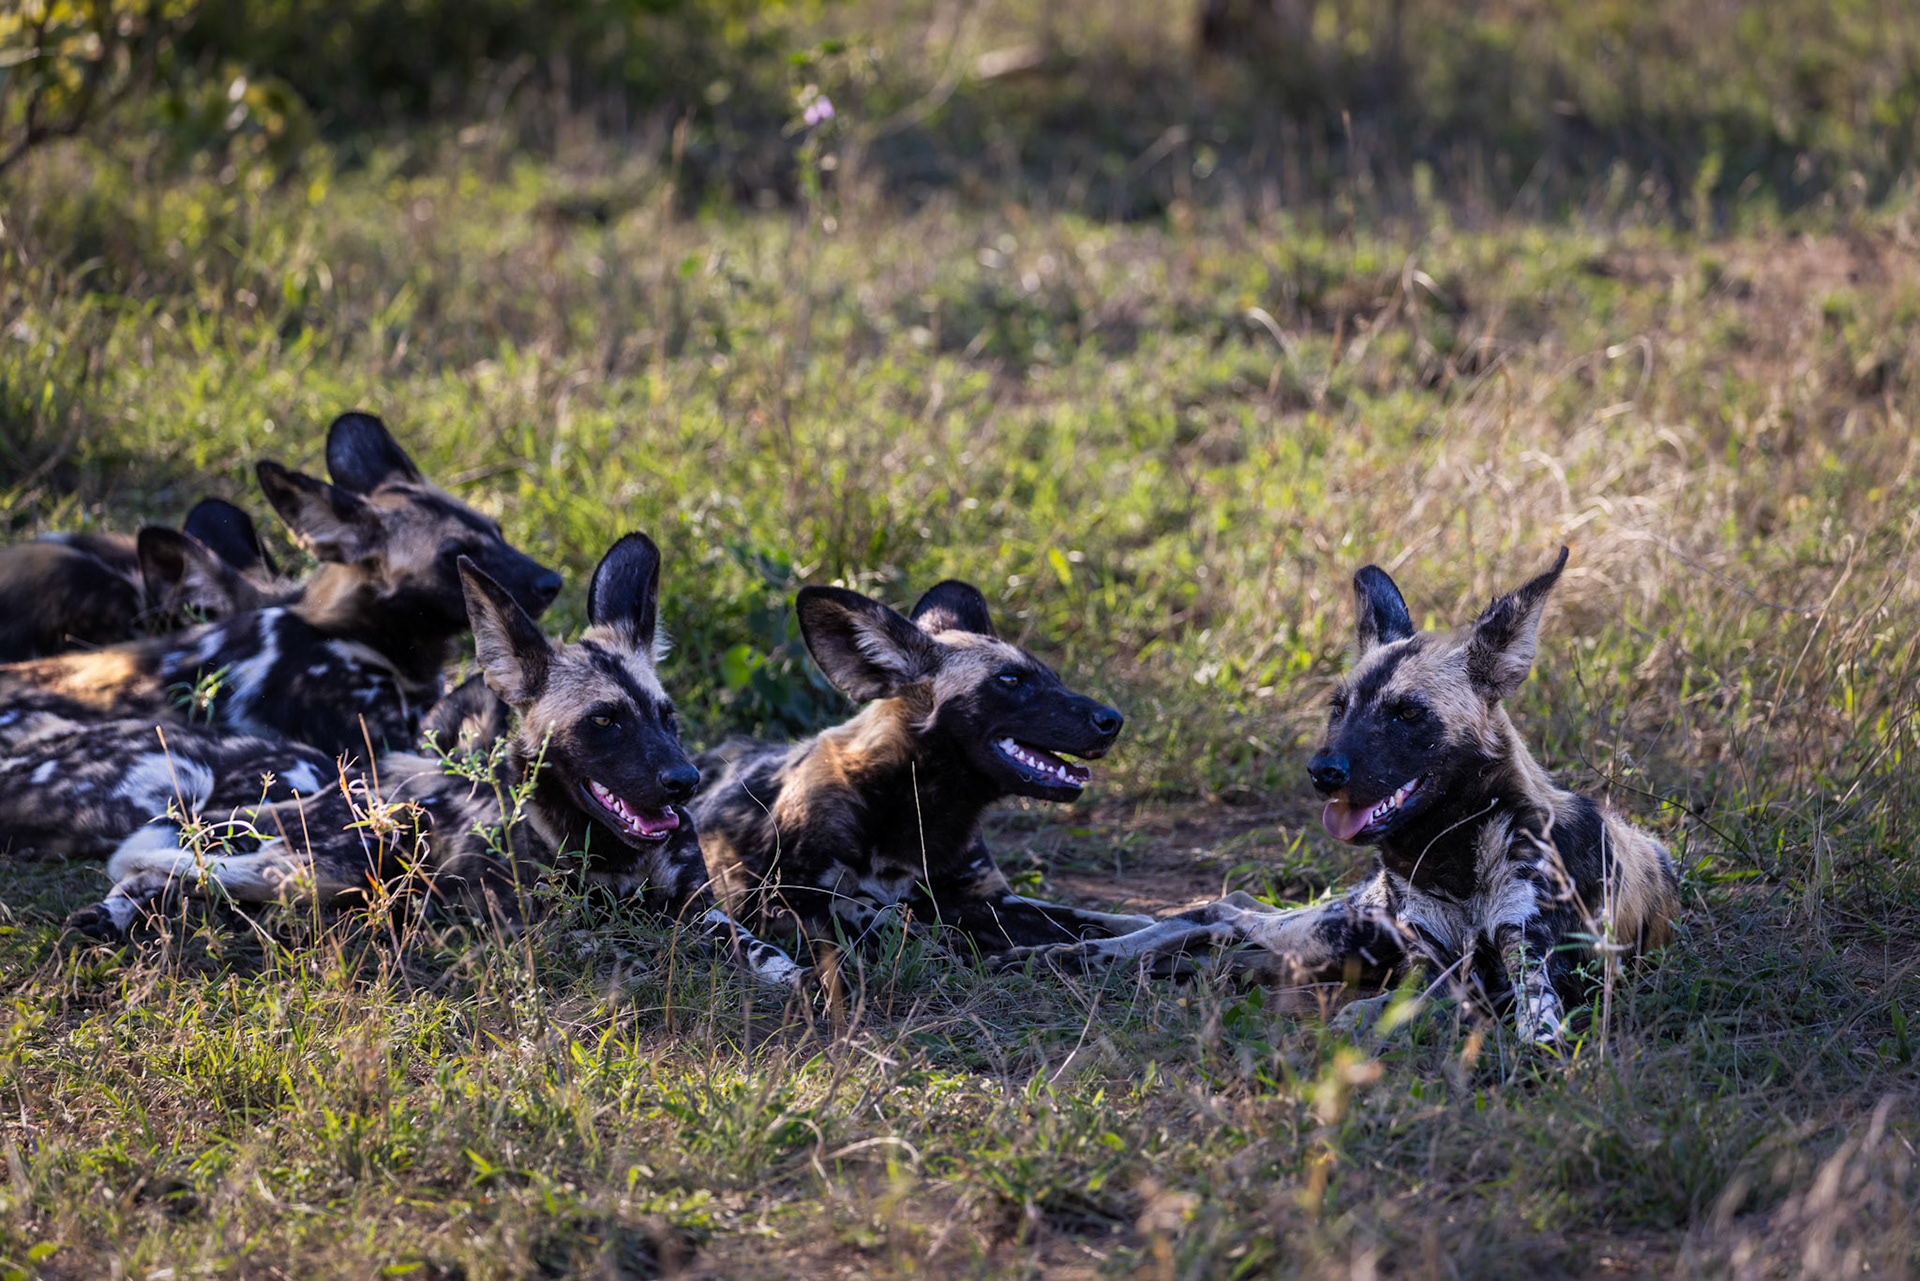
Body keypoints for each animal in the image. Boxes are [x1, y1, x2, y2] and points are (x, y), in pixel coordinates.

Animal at [65, 534, 801, 989]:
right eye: (604, 722)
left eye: (666, 716)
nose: (684, 782)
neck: (605, 852)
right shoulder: (557, 932)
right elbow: (636, 945)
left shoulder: (698, 908)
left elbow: (751, 943)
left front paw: (790, 975)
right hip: (327, 860)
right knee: (176, 864)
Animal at [690, 580, 1156, 956]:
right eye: (1010, 680)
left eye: (1056, 679)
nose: (1113, 721)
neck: (921, 810)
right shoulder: (787, 902)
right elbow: (895, 922)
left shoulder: (985, 899)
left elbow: (1106, 920)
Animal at [999, 549, 1680, 1045]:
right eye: (1338, 708)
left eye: (1408, 714)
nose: (1322, 771)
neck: (1452, 858)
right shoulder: (1431, 962)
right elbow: (1419, 999)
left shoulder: (1527, 963)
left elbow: (1532, 1023)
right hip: (1342, 931)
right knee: (1223, 911)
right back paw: (1082, 950)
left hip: (1347, 943)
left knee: (1228, 930)